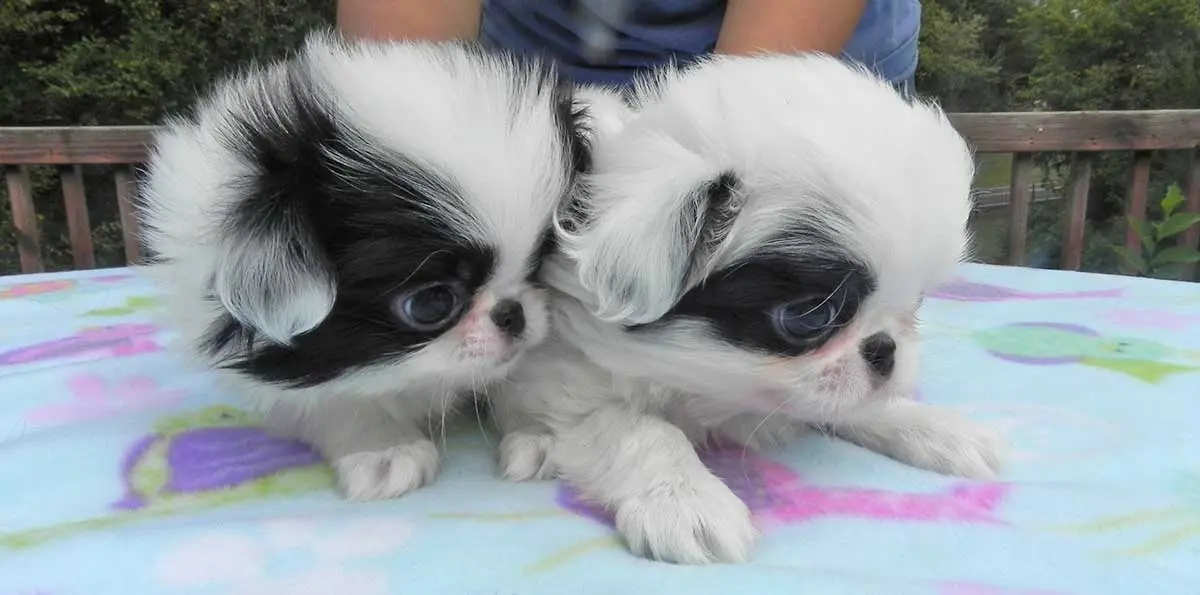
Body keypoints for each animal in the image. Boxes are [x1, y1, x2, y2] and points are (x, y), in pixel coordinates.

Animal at [492, 55, 1008, 566]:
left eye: (915, 304)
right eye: (810, 317)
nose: (886, 351)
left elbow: (864, 406)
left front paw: (937, 428)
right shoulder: (570, 384)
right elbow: (639, 429)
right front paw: (687, 501)